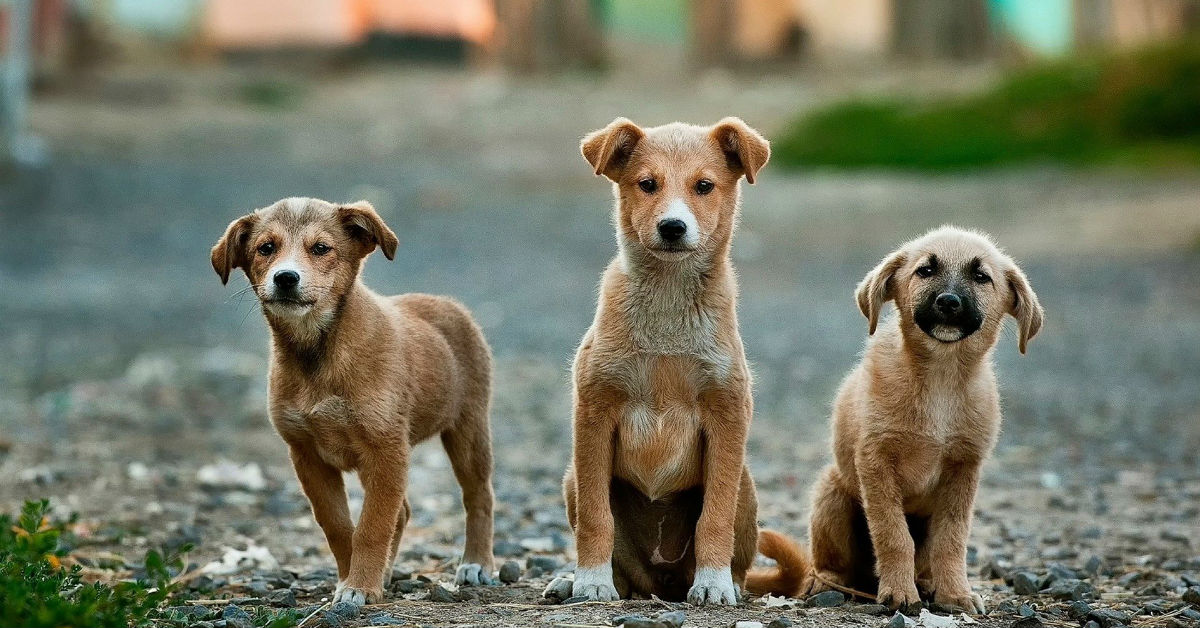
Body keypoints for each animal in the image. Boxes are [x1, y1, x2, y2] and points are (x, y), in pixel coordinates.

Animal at [212, 199, 496, 607]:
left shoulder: (385, 449)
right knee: (403, 511)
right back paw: (388, 572)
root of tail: (447, 303)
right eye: (266, 248)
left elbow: (372, 526)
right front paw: (353, 579)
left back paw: (476, 563)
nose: (286, 278)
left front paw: (360, 585)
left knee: (478, 496)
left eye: (321, 248)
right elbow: (339, 526)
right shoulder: (307, 455)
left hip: (468, 429)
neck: (317, 353)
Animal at [552, 116, 768, 605]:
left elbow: (715, 517)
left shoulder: (728, 414)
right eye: (647, 184)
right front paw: (590, 581)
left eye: (704, 186)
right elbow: (596, 517)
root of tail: (662, 582)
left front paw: (713, 583)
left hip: (746, 485)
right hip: (572, 477)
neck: (668, 304)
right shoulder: (594, 412)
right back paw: (576, 580)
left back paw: (726, 582)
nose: (672, 227)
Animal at [748, 226, 1041, 614]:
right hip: (831, 494)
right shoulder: (876, 462)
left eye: (981, 277)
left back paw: (928, 584)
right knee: (829, 563)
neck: (940, 378)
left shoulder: (964, 469)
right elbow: (893, 535)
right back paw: (826, 583)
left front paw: (955, 594)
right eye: (925, 270)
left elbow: (951, 540)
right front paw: (900, 593)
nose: (948, 302)